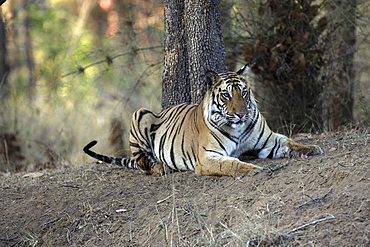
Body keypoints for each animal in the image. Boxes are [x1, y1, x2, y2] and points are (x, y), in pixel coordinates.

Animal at [83, 65, 320, 178]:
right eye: (226, 95)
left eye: (244, 93)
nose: (242, 114)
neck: (238, 128)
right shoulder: (207, 156)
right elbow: (231, 163)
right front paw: (251, 169)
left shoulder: (269, 142)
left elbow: (290, 141)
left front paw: (311, 148)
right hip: (140, 114)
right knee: (144, 164)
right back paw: (161, 167)